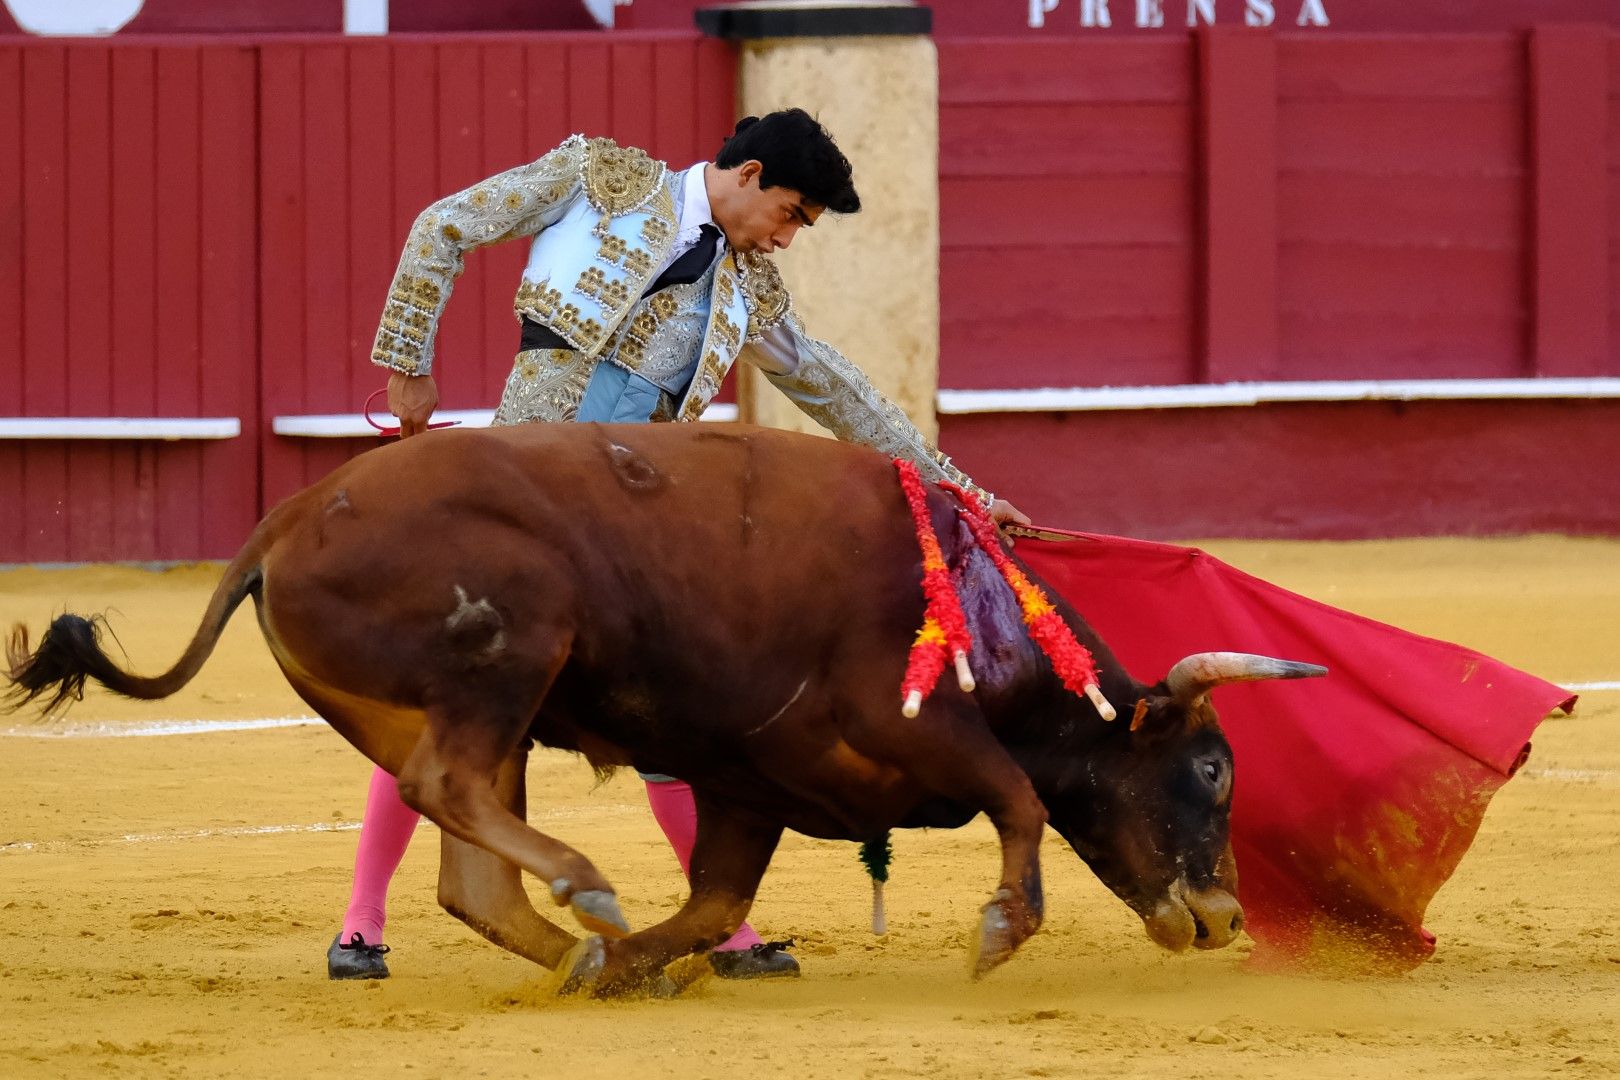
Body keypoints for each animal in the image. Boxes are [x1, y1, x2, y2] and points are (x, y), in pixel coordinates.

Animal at [6, 420, 1321, 997]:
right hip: (509, 654)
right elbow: (1018, 799)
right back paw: (584, 892)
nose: (1223, 916)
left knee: (466, 864)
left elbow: (714, 901)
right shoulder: (909, 725)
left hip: (455, 706)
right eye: (1212, 772)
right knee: (447, 794)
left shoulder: (750, 780)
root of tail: (287, 518)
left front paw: (645, 962)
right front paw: (999, 931)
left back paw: (584, 949)